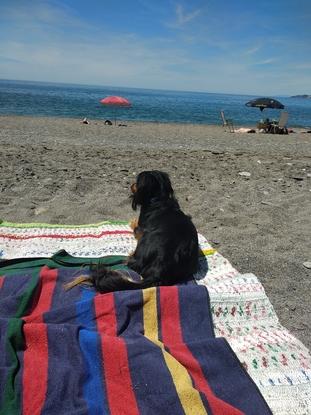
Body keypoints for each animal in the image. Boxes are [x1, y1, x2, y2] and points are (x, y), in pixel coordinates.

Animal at [66, 169, 199, 292]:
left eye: (137, 181)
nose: (131, 184)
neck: (159, 199)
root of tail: (160, 268)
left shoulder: (140, 229)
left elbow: (135, 226)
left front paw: (132, 221)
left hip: (144, 240)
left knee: (133, 263)